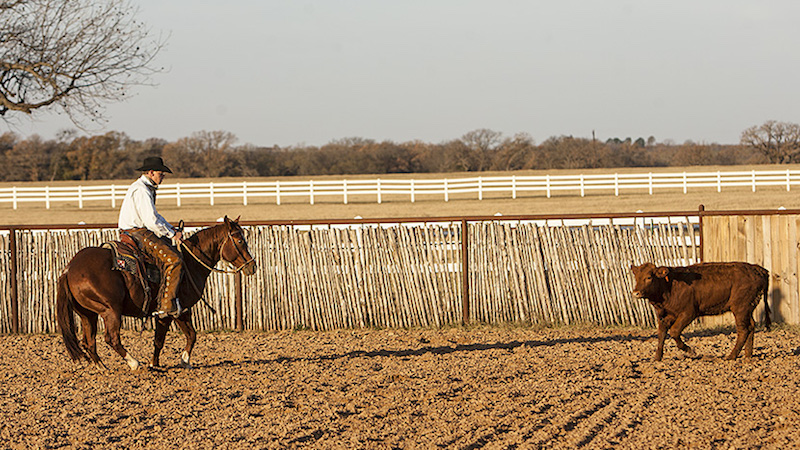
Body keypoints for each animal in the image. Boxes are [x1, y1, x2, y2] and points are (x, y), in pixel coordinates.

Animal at [630, 262, 770, 361]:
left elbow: (674, 331)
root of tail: (759, 270)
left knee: (743, 330)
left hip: (740, 308)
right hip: (748, 308)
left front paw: (690, 350)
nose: (636, 293)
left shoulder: (689, 313)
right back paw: (748, 355)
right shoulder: (667, 315)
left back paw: (731, 356)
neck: (669, 286)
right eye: (636, 277)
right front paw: (657, 357)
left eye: (649, 277)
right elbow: (661, 333)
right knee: (751, 326)